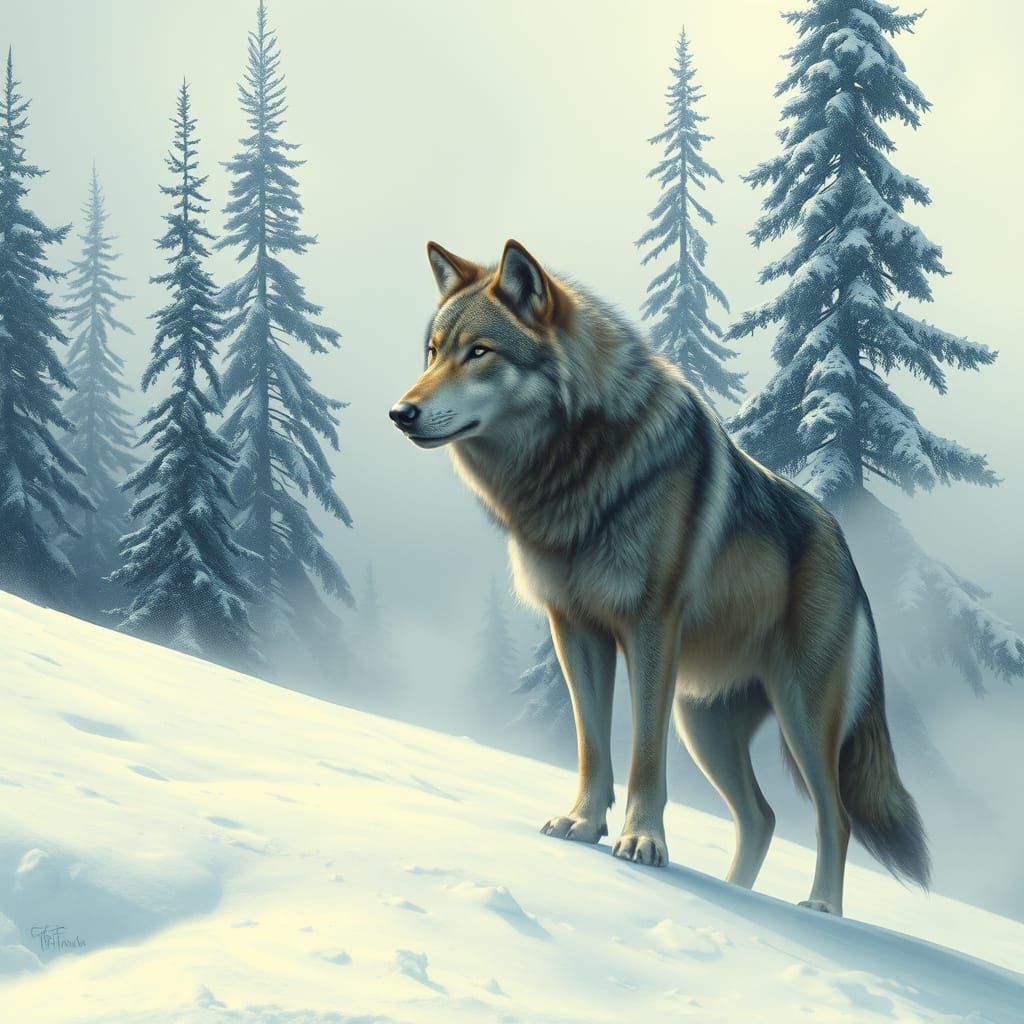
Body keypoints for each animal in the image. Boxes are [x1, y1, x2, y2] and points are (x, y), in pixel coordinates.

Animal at [390, 239, 930, 915]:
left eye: (479, 353)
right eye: (433, 352)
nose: (400, 413)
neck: (579, 467)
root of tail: (850, 555)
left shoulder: (649, 628)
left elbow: (643, 753)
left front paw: (643, 843)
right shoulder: (574, 629)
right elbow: (592, 744)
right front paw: (582, 824)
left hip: (800, 720)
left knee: (837, 817)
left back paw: (822, 911)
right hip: (705, 725)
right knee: (761, 817)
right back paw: (736, 891)